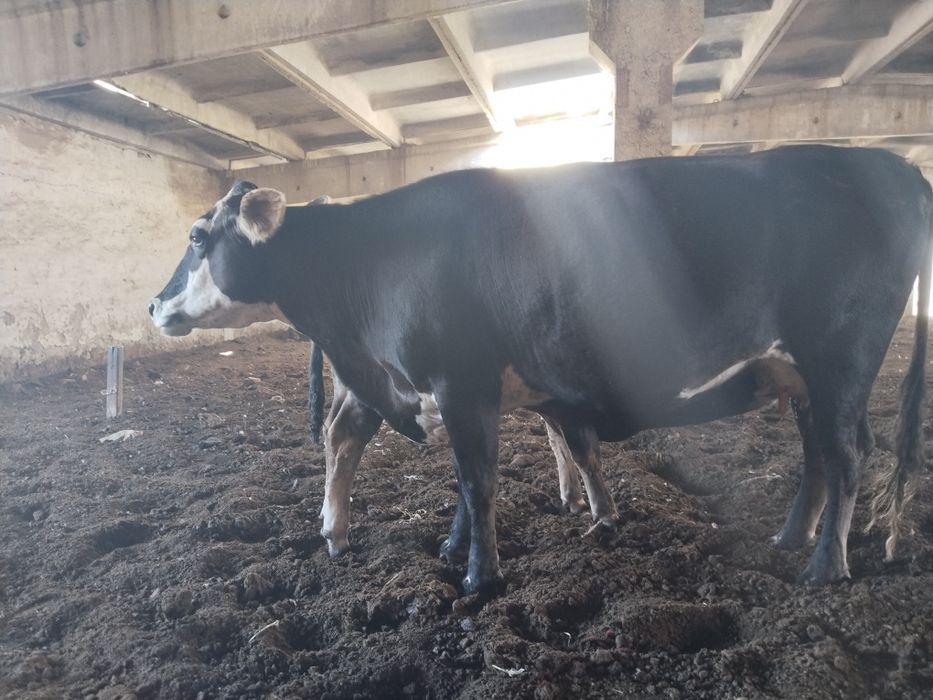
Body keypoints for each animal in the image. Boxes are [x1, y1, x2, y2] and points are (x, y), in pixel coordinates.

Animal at [149, 146, 932, 595]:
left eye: (197, 235)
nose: (154, 304)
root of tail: (891, 162)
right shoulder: (452, 389)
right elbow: (466, 482)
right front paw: (452, 548)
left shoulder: (461, 382)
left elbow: (477, 479)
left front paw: (479, 576)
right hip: (801, 377)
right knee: (817, 455)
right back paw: (791, 536)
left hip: (839, 359)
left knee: (849, 454)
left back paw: (824, 567)